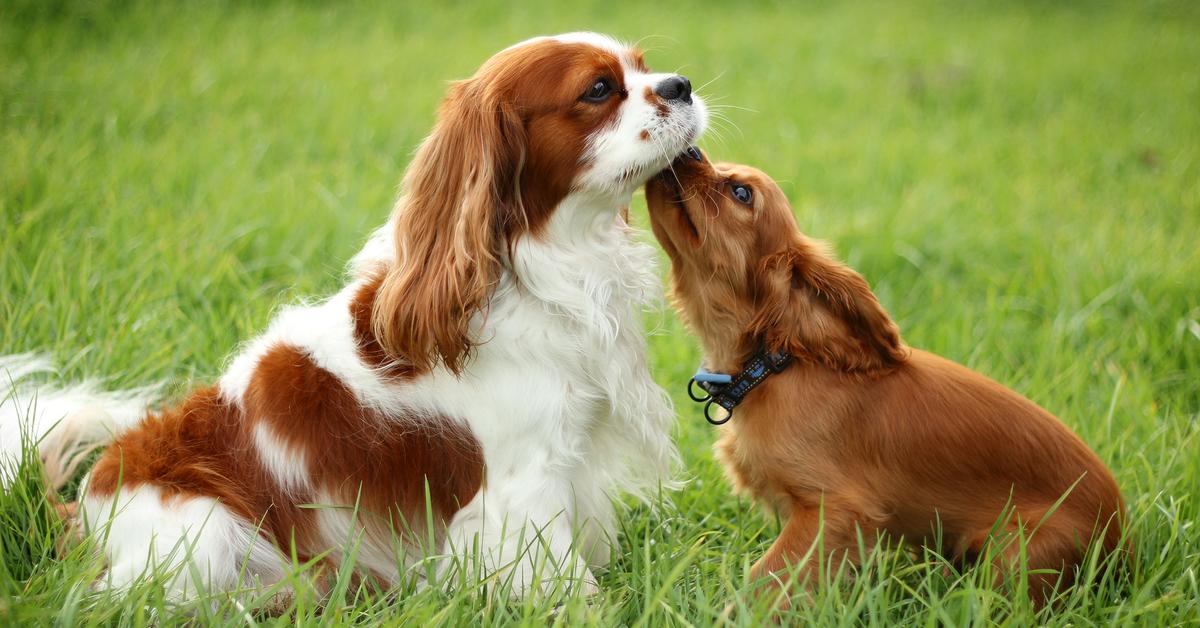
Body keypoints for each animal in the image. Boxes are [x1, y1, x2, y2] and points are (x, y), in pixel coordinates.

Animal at [0, 31, 705, 602]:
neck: (537, 266)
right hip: (204, 532)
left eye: (645, 68)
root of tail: (81, 512)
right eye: (599, 89)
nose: (682, 84)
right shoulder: (523, 484)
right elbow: (559, 579)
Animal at [648, 150, 1123, 607]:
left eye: (741, 193)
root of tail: (1125, 547)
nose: (689, 148)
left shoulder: (834, 510)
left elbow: (765, 579)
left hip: (1018, 551)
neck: (775, 365)